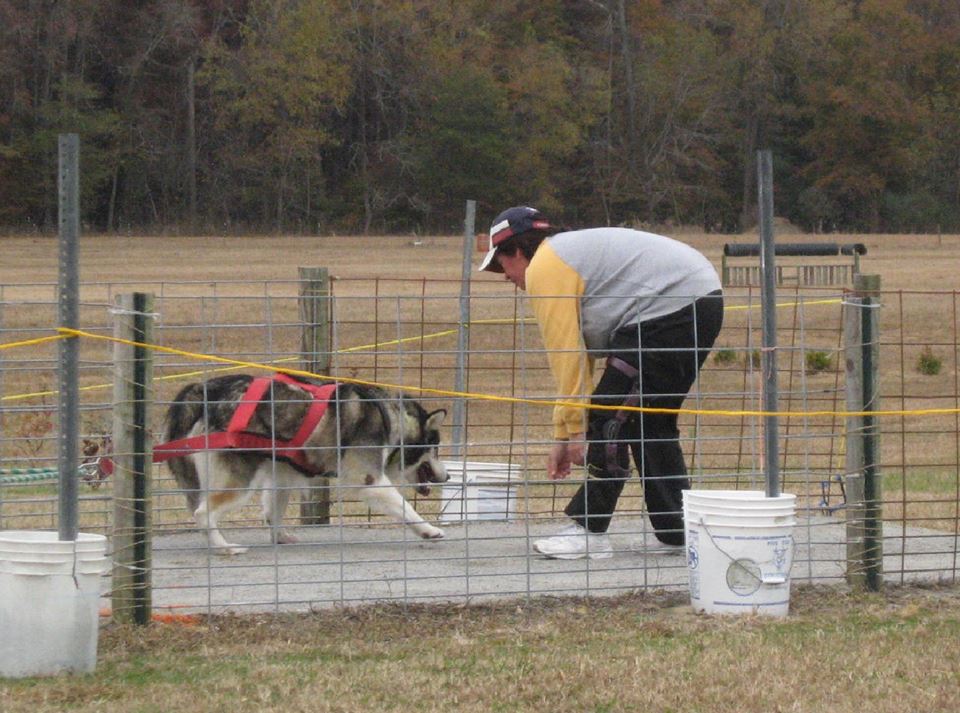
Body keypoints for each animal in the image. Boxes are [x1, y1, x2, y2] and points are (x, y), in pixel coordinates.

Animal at [163, 372, 448, 556]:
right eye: (435, 449)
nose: (447, 477)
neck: (390, 418)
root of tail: (200, 392)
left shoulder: (280, 475)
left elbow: (273, 512)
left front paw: (279, 537)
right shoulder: (369, 480)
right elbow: (405, 507)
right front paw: (428, 530)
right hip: (239, 482)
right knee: (202, 513)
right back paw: (224, 548)